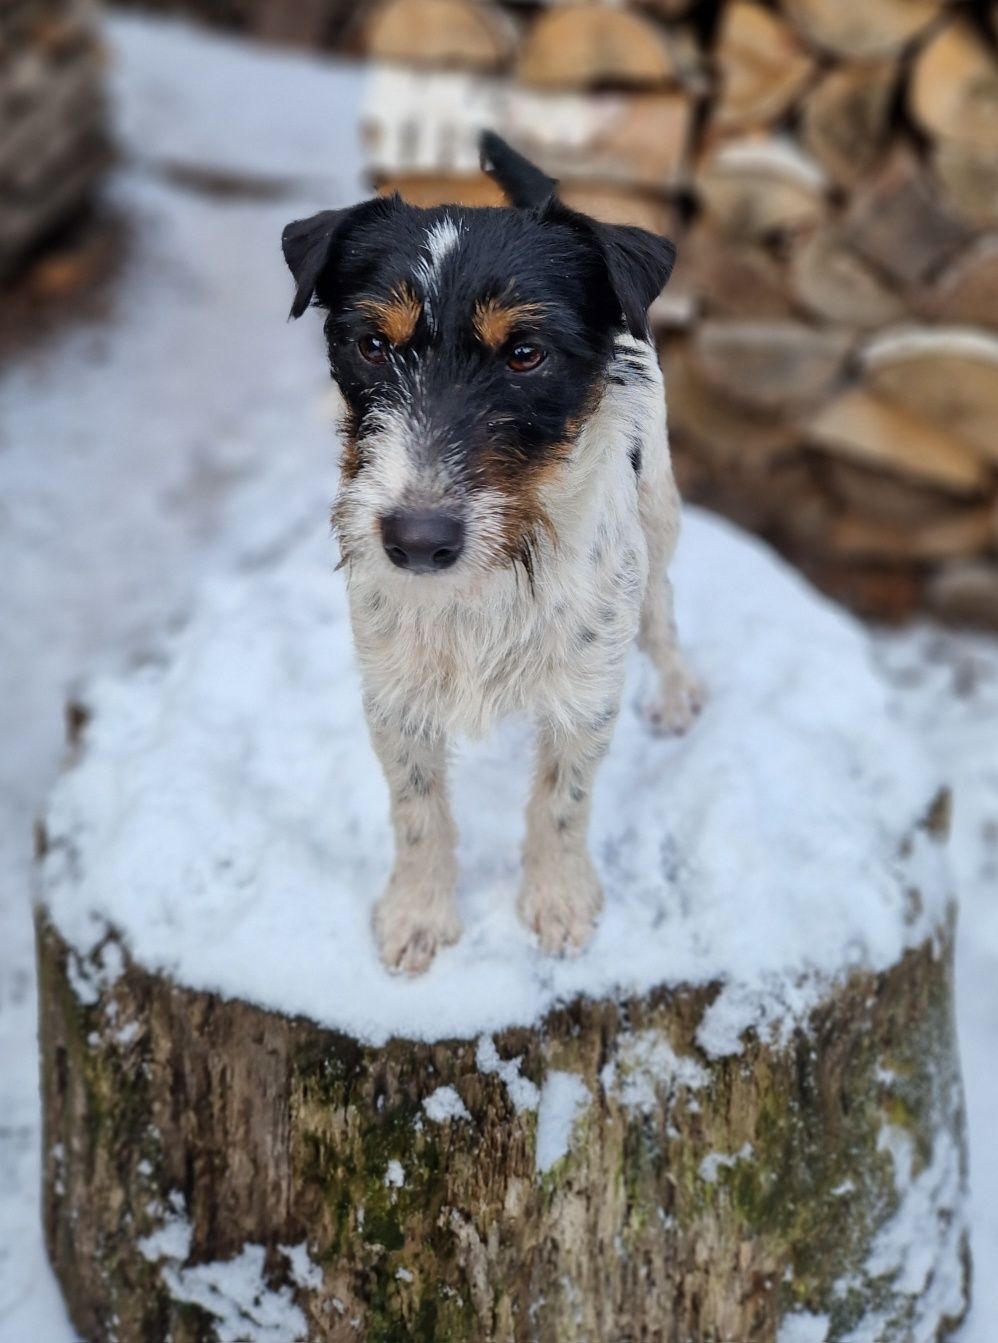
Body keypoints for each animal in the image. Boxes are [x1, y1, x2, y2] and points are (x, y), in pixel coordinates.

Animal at [280, 133, 703, 977]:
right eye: (371, 344)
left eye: (526, 353)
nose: (416, 541)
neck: (503, 564)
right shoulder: (394, 694)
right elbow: (417, 811)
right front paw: (418, 912)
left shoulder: (586, 692)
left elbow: (563, 801)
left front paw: (558, 899)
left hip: (660, 519)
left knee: (664, 612)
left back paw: (676, 692)